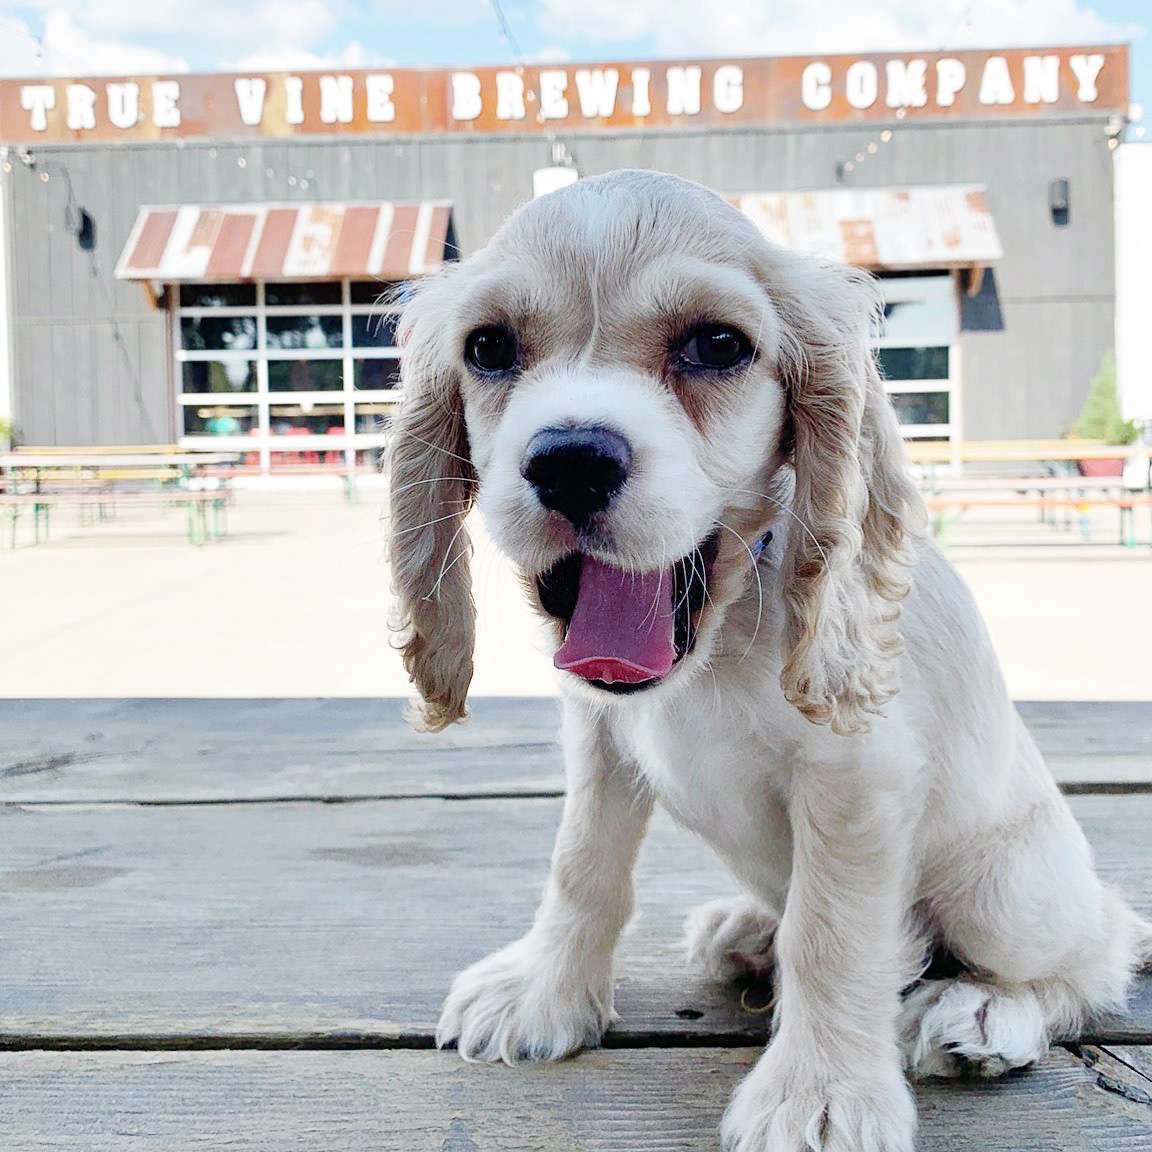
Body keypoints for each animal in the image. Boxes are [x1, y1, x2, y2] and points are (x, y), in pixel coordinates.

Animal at [387, 169, 1150, 1151]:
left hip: (1007, 892)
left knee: (1092, 955)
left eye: (717, 344)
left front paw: (820, 1094)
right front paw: (545, 991)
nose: (569, 461)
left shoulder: (857, 773)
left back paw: (983, 1013)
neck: (719, 639)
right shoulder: (600, 738)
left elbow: (831, 933)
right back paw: (747, 928)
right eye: (488, 348)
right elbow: (582, 861)